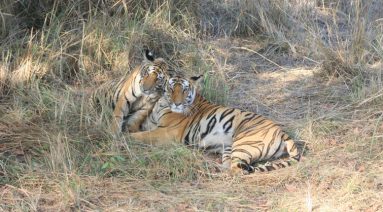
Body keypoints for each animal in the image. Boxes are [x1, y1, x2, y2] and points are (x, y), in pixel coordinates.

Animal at [130, 74, 302, 174]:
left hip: (243, 144)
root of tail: (282, 131)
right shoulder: (149, 124)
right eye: (171, 89)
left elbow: (139, 136)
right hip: (229, 148)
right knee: (229, 166)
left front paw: (125, 139)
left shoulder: (166, 133)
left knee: (237, 170)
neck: (161, 104)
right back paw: (210, 168)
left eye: (184, 90)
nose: (177, 103)